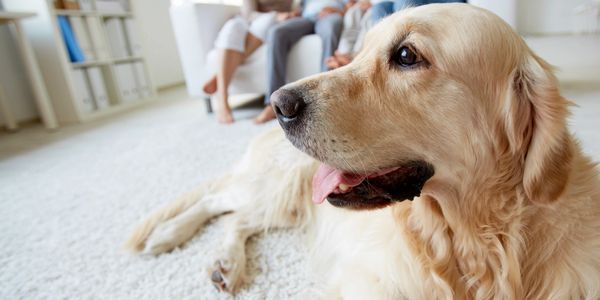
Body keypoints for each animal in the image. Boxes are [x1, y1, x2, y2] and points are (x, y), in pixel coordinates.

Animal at [123, 3, 600, 298]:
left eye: (406, 55)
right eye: (359, 52)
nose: (277, 104)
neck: (474, 244)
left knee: (237, 218)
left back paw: (223, 262)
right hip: (279, 186)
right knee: (217, 200)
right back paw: (170, 235)